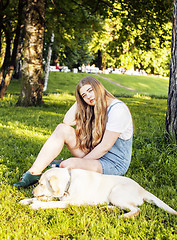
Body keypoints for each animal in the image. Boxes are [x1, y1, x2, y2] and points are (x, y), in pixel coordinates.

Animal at [19, 168, 177, 218]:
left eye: (41, 184)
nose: (32, 192)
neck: (70, 182)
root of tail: (143, 189)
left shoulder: (69, 203)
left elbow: (51, 203)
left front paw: (35, 204)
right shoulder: (61, 197)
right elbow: (47, 199)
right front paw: (26, 200)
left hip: (116, 193)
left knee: (136, 210)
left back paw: (123, 216)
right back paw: (107, 208)